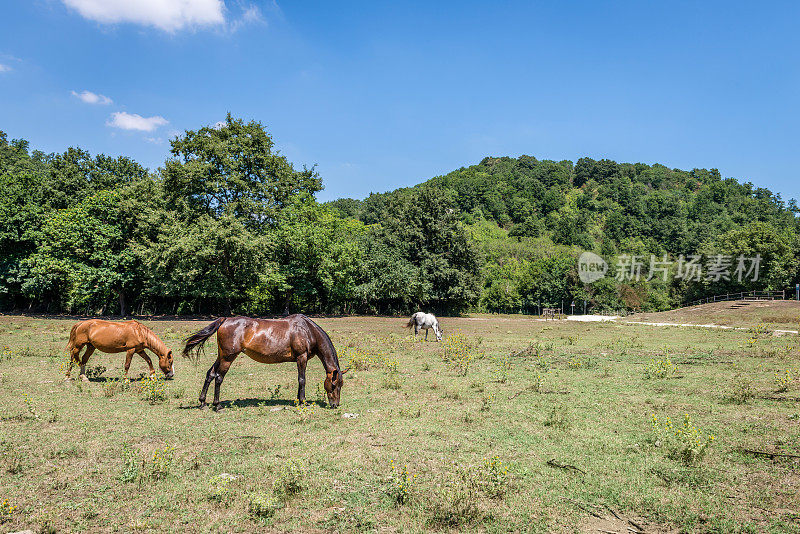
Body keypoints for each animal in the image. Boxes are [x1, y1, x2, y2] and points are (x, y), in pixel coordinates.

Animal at [181, 314, 346, 414]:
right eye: (334, 385)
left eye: (341, 385)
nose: (335, 405)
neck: (307, 330)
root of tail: (225, 320)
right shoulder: (301, 357)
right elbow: (302, 380)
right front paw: (302, 401)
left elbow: (300, 381)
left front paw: (298, 399)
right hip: (228, 357)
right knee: (219, 377)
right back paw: (217, 405)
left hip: (221, 356)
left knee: (210, 374)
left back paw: (203, 403)